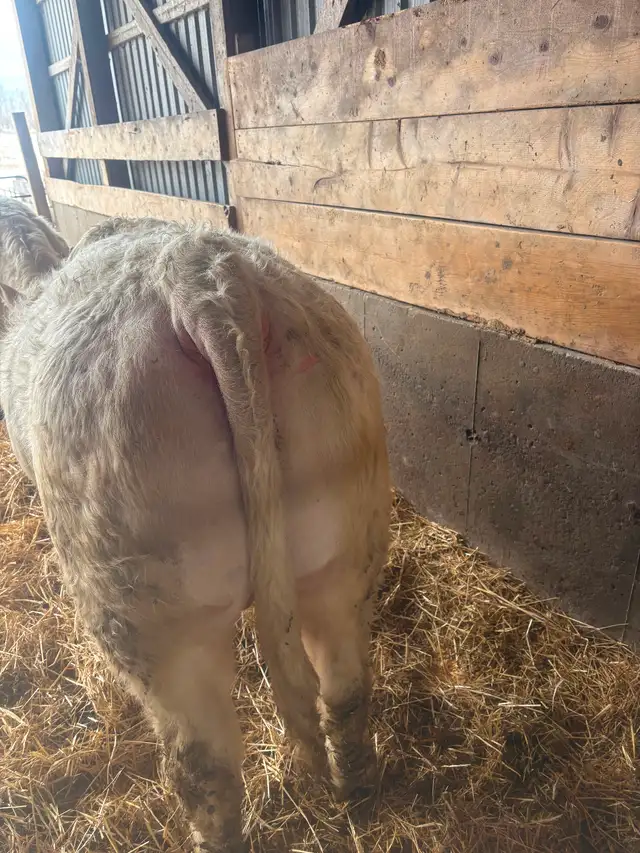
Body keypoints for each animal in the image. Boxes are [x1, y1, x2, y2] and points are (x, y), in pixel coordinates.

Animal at [0, 200, 391, 853]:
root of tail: (203, 280)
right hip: (343, 542)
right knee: (343, 689)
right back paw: (353, 790)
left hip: (146, 608)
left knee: (204, 770)